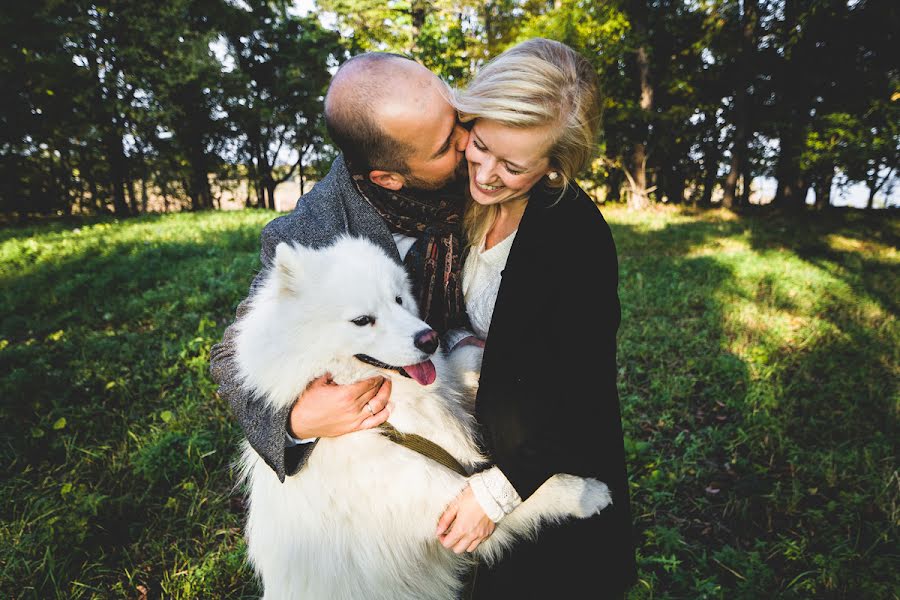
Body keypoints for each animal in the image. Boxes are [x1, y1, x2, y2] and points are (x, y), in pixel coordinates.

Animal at [234, 236, 612, 600]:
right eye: (362, 320)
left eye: (399, 300)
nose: (429, 339)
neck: (390, 419)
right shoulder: (435, 500)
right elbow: (524, 493)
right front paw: (587, 493)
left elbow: (464, 361)